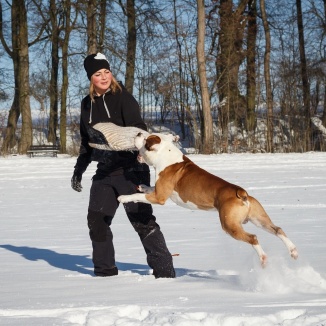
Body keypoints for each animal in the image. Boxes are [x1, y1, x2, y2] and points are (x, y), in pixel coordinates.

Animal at [118, 131, 300, 266]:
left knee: (253, 238)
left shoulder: (159, 197)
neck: (166, 155)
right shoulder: (158, 192)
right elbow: (147, 189)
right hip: (259, 218)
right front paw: (142, 186)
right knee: (278, 229)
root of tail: (241, 192)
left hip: (230, 225)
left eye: (145, 138)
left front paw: (123, 197)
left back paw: (263, 258)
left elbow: (138, 196)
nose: (138, 133)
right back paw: (293, 251)